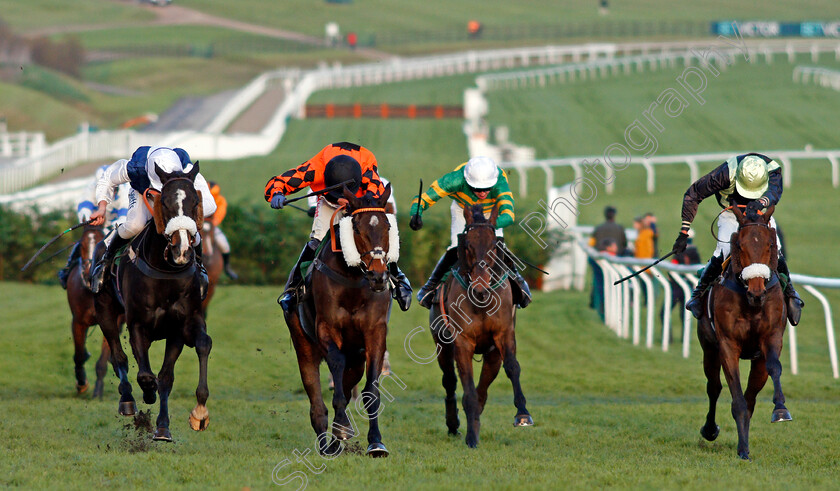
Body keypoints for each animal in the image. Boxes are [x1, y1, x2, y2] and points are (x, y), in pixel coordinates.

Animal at [65, 225, 114, 398]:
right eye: (82, 245)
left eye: (101, 241)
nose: (88, 273)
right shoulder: (78, 321)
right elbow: (79, 355)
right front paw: (82, 383)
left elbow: (102, 361)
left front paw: (98, 390)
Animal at [94, 163, 213, 444]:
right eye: (165, 203)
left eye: (195, 203)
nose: (182, 250)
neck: (165, 272)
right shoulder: (138, 324)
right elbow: (145, 375)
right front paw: (146, 395)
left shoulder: (181, 326)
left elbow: (172, 372)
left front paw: (181, 421)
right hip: (105, 312)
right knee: (119, 356)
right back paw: (127, 399)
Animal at [286, 184, 398, 458]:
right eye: (356, 228)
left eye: (387, 226)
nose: (378, 276)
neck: (353, 282)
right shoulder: (327, 329)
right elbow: (335, 369)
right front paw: (342, 429)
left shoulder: (375, 332)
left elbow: (370, 391)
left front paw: (376, 443)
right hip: (303, 344)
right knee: (317, 398)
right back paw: (328, 442)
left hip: (356, 355)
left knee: (348, 385)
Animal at [426, 205, 532, 450]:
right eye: (468, 245)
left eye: (494, 246)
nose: (480, 289)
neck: (483, 300)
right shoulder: (462, 341)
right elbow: (467, 387)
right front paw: (471, 436)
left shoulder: (503, 335)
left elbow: (512, 368)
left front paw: (522, 414)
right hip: (441, 345)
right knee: (449, 381)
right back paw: (453, 423)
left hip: (492, 355)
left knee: (483, 386)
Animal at [700, 205, 792, 462]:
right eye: (740, 245)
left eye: (770, 245)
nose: (757, 293)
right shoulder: (727, 345)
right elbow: (737, 399)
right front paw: (742, 449)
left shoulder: (771, 339)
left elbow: (774, 368)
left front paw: (781, 410)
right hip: (708, 348)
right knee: (714, 387)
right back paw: (710, 430)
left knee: (751, 396)